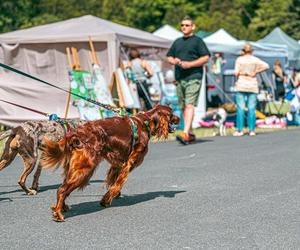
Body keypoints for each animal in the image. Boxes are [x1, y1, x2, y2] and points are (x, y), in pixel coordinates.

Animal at [40, 104, 179, 222]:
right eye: (171, 114)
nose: (178, 118)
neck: (146, 123)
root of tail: (76, 133)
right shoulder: (129, 163)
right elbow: (117, 184)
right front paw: (106, 199)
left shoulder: (117, 164)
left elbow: (114, 182)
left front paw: (113, 196)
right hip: (86, 168)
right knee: (62, 189)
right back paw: (58, 214)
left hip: (75, 167)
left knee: (63, 187)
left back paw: (61, 207)